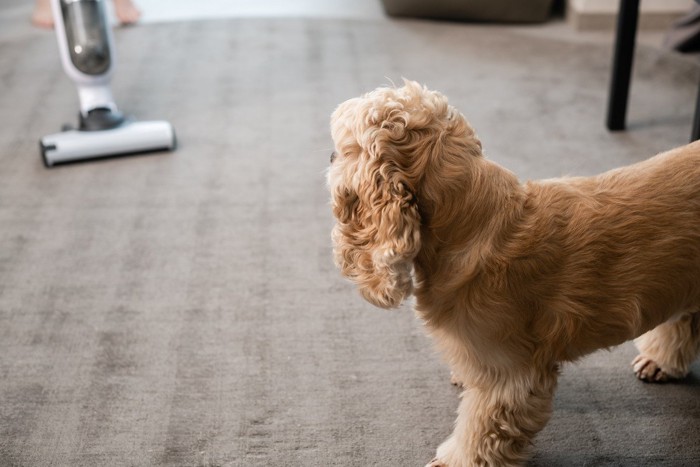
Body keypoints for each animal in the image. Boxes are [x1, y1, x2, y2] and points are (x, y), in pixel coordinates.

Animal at [326, 81, 700, 467]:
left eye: (345, 149)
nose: (330, 157)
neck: (472, 222)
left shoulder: (508, 374)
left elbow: (480, 430)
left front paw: (455, 460)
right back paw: (662, 359)